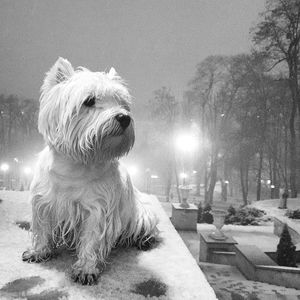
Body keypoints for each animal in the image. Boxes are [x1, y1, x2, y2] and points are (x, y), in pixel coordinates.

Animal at [22, 57, 158, 284]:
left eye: (122, 103)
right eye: (89, 101)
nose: (124, 118)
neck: (76, 164)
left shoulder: (97, 209)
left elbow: (91, 239)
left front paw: (86, 268)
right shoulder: (44, 202)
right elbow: (42, 229)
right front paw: (38, 251)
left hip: (143, 213)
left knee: (146, 228)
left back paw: (143, 240)